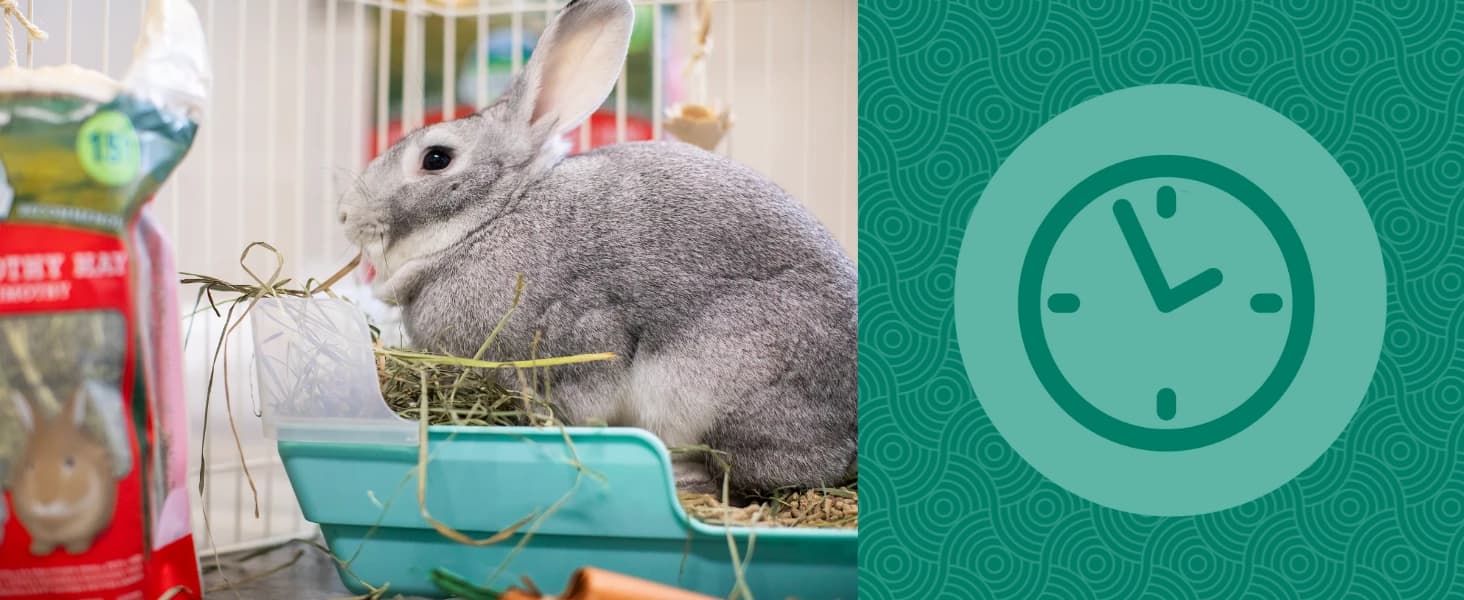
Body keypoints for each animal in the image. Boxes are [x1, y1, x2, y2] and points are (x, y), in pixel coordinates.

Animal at [8, 386, 118, 555]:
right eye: (30, 465)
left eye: (70, 462)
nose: (45, 502)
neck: (56, 520)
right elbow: (43, 541)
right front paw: (38, 552)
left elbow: (80, 539)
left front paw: (77, 551)